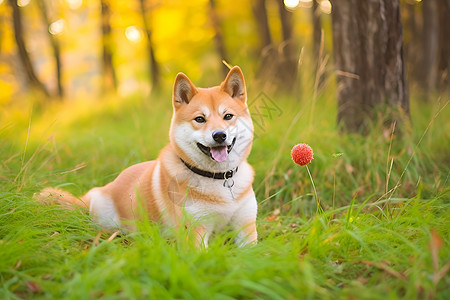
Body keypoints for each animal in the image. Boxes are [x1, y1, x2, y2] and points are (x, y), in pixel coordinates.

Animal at [37, 67, 256, 247]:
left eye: (228, 116)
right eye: (200, 119)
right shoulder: (195, 231)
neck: (219, 180)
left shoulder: (246, 225)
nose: (219, 135)